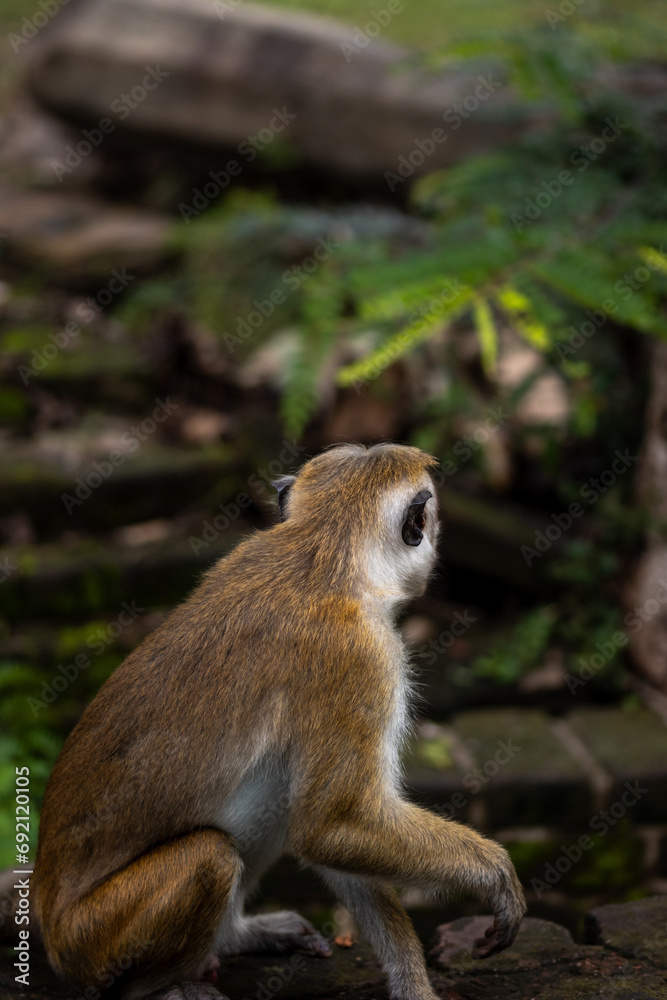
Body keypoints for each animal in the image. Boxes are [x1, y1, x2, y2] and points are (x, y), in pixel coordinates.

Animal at [28, 444, 524, 1000]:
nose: (436, 537)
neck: (324, 554)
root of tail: (50, 930)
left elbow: (336, 830)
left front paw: (410, 983)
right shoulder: (363, 658)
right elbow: (335, 822)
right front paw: (495, 875)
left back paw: (234, 936)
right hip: (95, 942)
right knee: (211, 854)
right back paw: (165, 985)